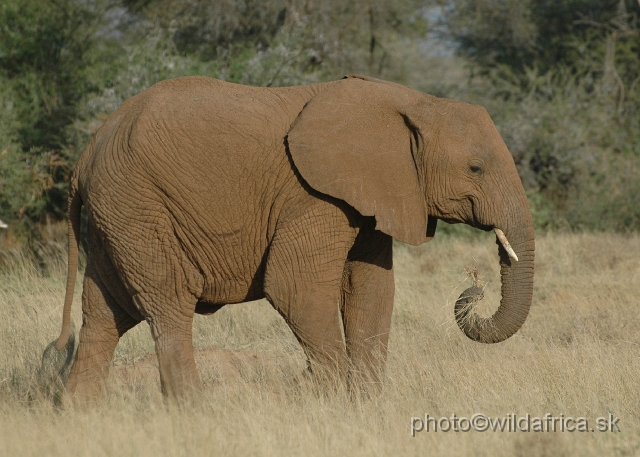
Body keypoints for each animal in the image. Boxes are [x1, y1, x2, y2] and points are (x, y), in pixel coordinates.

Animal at [53, 73, 536, 398]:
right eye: (475, 168)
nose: (474, 287)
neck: (413, 102)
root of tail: (86, 155)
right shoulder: (313, 196)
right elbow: (295, 287)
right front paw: (328, 399)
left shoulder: (370, 195)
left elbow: (372, 289)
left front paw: (366, 403)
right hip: (137, 205)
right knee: (167, 303)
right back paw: (196, 410)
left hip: (116, 215)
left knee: (104, 316)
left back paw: (80, 414)